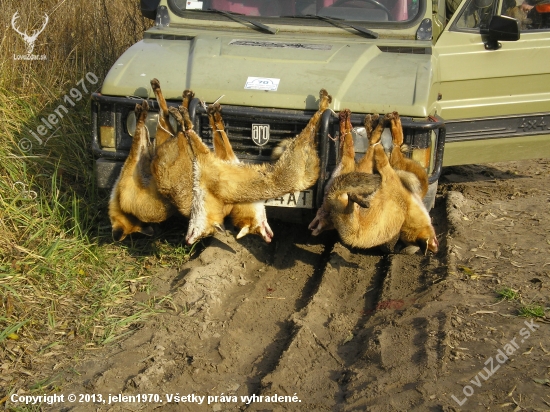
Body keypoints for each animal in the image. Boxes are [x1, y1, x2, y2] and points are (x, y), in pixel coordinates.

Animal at [109, 100, 176, 241]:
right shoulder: (145, 157)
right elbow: (144, 136)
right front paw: (139, 115)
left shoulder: (131, 166)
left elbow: (138, 137)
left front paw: (141, 116)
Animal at [183, 89, 334, 245]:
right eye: (255, 231)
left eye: (203, 235)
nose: (188, 241)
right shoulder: (225, 158)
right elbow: (218, 135)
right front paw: (207, 116)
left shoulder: (208, 159)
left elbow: (200, 137)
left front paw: (187, 121)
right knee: (314, 125)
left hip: (300, 143)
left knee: (314, 121)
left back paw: (323, 102)